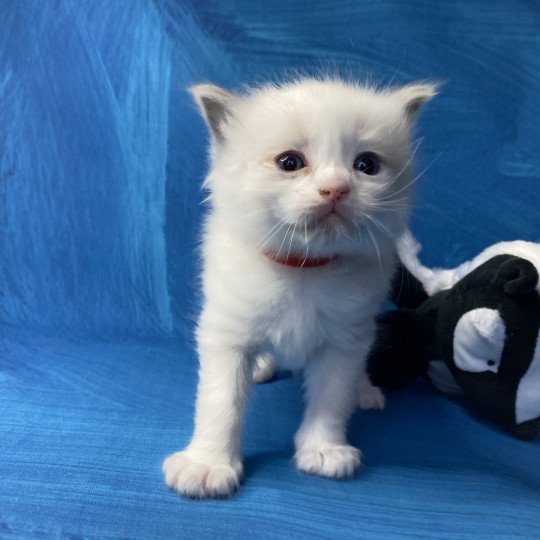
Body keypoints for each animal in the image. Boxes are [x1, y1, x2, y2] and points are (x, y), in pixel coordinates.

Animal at [162, 76, 436, 498]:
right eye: (289, 163)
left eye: (366, 165)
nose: (336, 188)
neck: (304, 269)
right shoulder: (226, 333)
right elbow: (220, 402)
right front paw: (208, 464)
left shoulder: (346, 340)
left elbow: (331, 399)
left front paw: (324, 450)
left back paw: (364, 389)